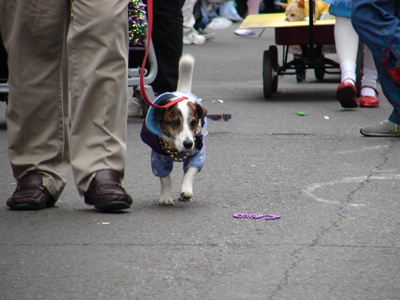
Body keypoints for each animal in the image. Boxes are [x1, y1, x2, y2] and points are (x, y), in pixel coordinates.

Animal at [141, 54, 208, 206]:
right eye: (175, 122)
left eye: (193, 122)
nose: (188, 144)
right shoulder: (159, 160)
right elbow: (165, 180)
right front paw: (166, 197)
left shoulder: (197, 155)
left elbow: (190, 172)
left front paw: (186, 191)